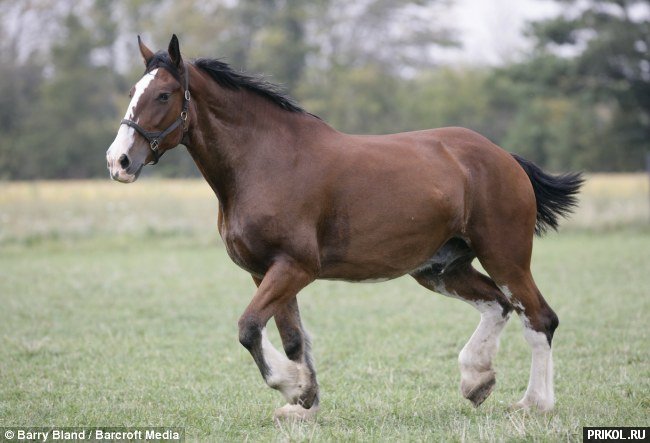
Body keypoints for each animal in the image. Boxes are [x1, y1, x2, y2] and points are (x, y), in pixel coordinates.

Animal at [106, 35, 583, 420]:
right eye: (132, 92)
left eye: (164, 95)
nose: (119, 161)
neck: (265, 161)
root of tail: (504, 157)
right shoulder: (266, 273)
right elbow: (293, 339)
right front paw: (304, 403)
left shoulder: (294, 268)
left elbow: (248, 327)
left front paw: (292, 387)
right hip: (441, 268)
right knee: (498, 305)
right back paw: (476, 380)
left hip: (505, 256)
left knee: (539, 317)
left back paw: (534, 403)